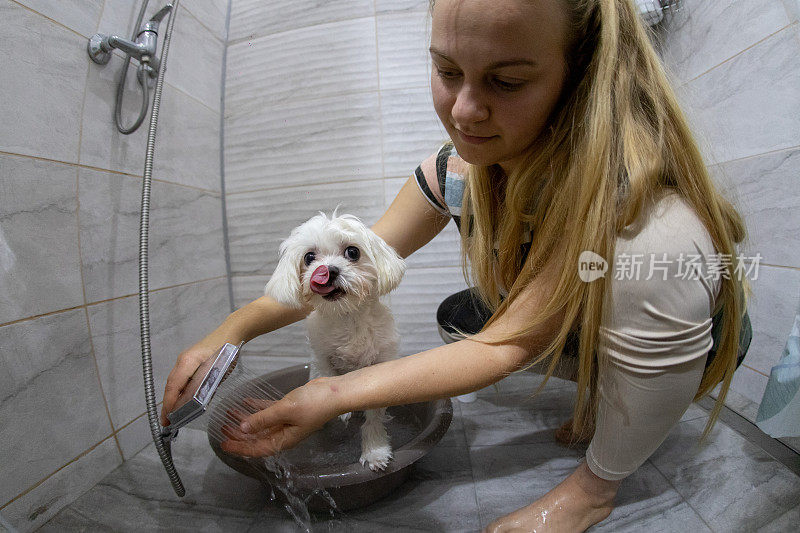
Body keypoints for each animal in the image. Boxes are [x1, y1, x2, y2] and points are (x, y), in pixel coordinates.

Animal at [266, 212, 406, 470]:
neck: (348, 318)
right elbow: (328, 372)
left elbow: (373, 417)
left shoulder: (380, 364)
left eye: (352, 252)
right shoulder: (321, 355)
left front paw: (375, 450)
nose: (327, 271)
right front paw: (341, 411)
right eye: (309, 257)